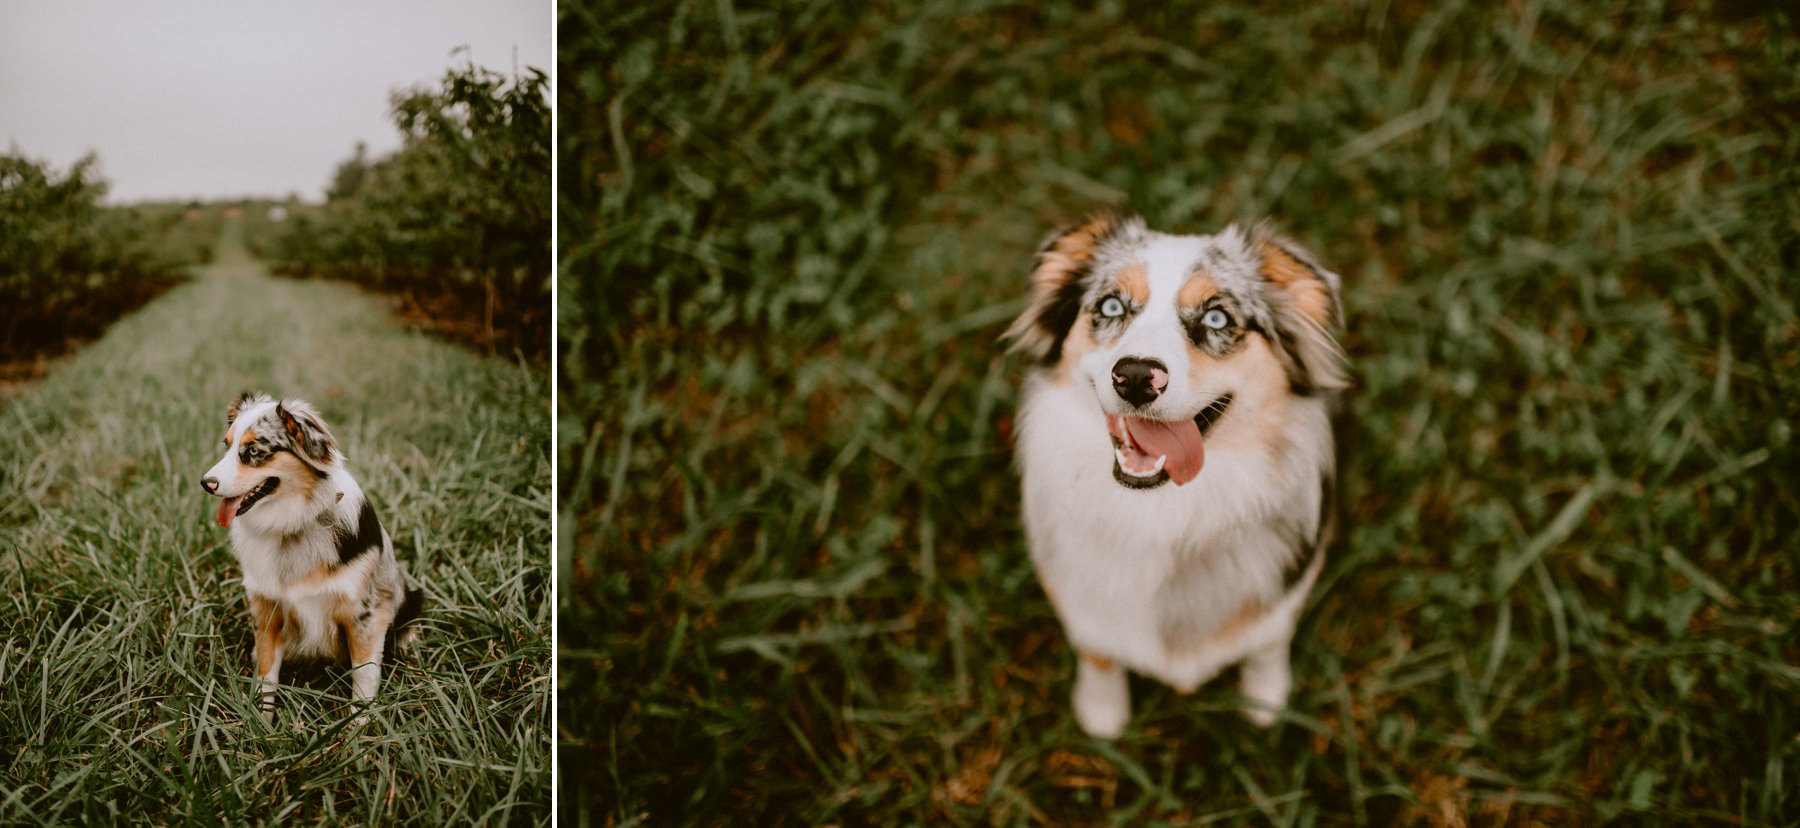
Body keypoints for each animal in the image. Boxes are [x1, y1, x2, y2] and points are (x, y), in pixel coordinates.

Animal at [198, 390, 421, 720]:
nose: (205, 483)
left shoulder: (363, 613)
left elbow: (364, 675)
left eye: (253, 451)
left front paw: (359, 727)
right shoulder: (268, 608)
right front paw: (261, 721)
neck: (293, 523)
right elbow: (266, 672)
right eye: (226, 446)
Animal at [1008, 211, 1346, 738]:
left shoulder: (1288, 581)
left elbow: (1267, 640)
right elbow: (1097, 651)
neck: (1163, 509)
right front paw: (1102, 715)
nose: (1134, 376)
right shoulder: (1076, 591)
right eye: (1110, 305)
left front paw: (1265, 700)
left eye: (1216, 318)